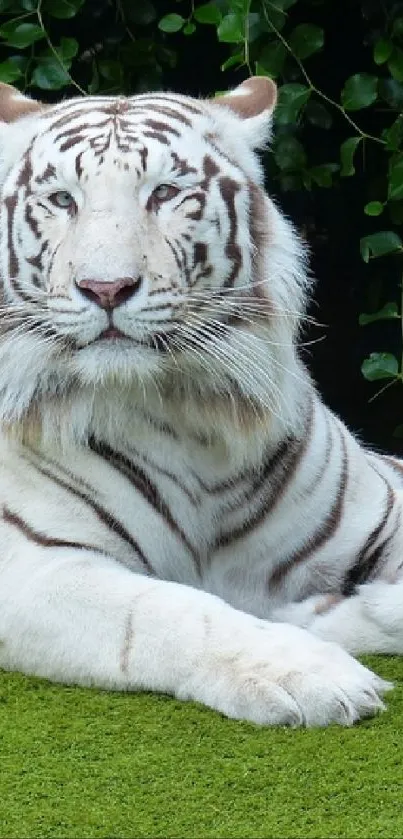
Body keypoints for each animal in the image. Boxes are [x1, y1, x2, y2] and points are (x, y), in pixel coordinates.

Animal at [0, 79, 400, 728]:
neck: (187, 413)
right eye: (62, 199)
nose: (105, 288)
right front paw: (312, 670)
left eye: (164, 193)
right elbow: (170, 612)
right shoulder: (33, 564)